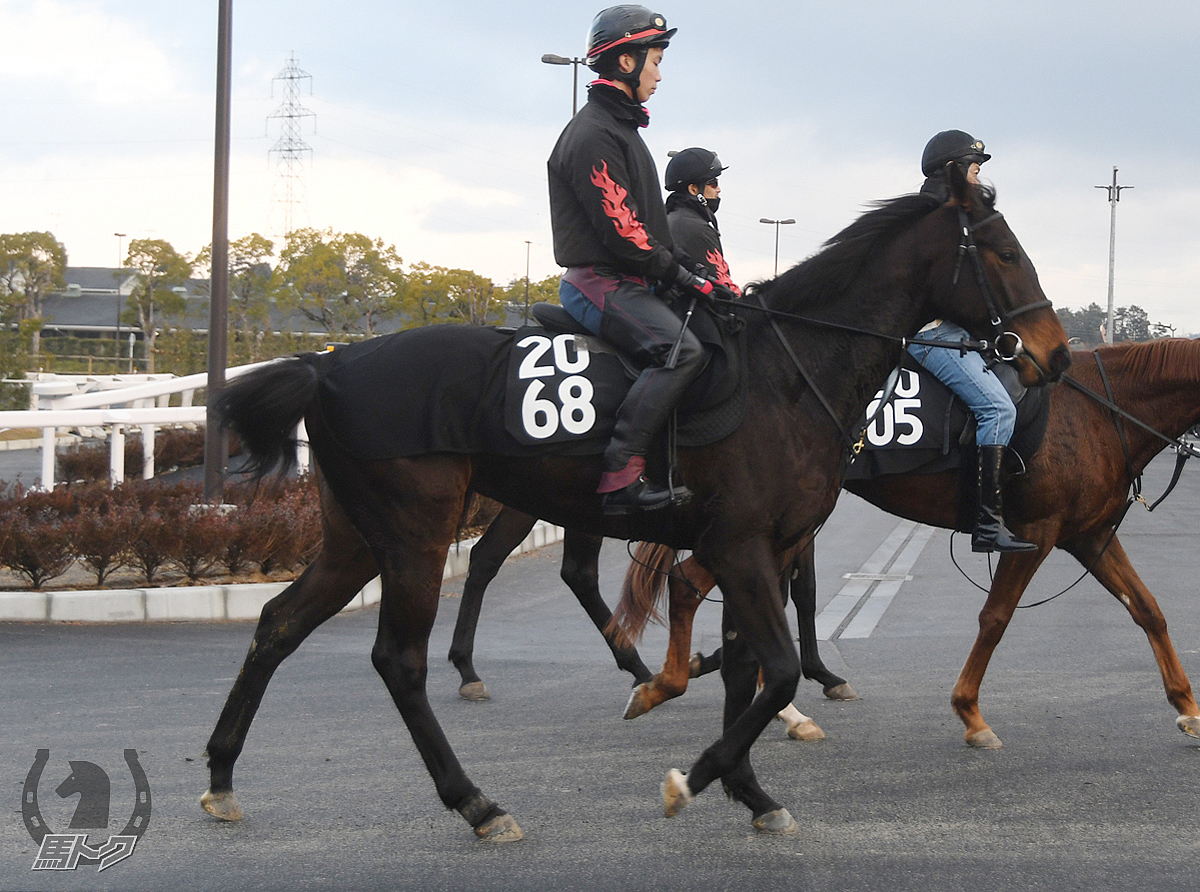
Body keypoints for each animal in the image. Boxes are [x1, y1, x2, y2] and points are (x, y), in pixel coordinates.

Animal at [199, 169, 1070, 845]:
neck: (787, 371)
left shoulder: (760, 545)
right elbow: (778, 669)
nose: (1054, 355)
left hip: (354, 538)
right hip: (416, 534)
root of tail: (326, 365)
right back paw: (477, 801)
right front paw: (699, 775)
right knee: (399, 659)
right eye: (1004, 251)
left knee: (278, 624)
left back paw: (221, 774)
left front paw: (748, 786)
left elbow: (751, 668)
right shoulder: (744, 545)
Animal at [619, 338, 1200, 749]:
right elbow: (996, 618)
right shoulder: (1036, 534)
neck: (1100, 411)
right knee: (694, 584)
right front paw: (970, 712)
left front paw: (1188, 708)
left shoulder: (1088, 534)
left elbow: (1147, 610)